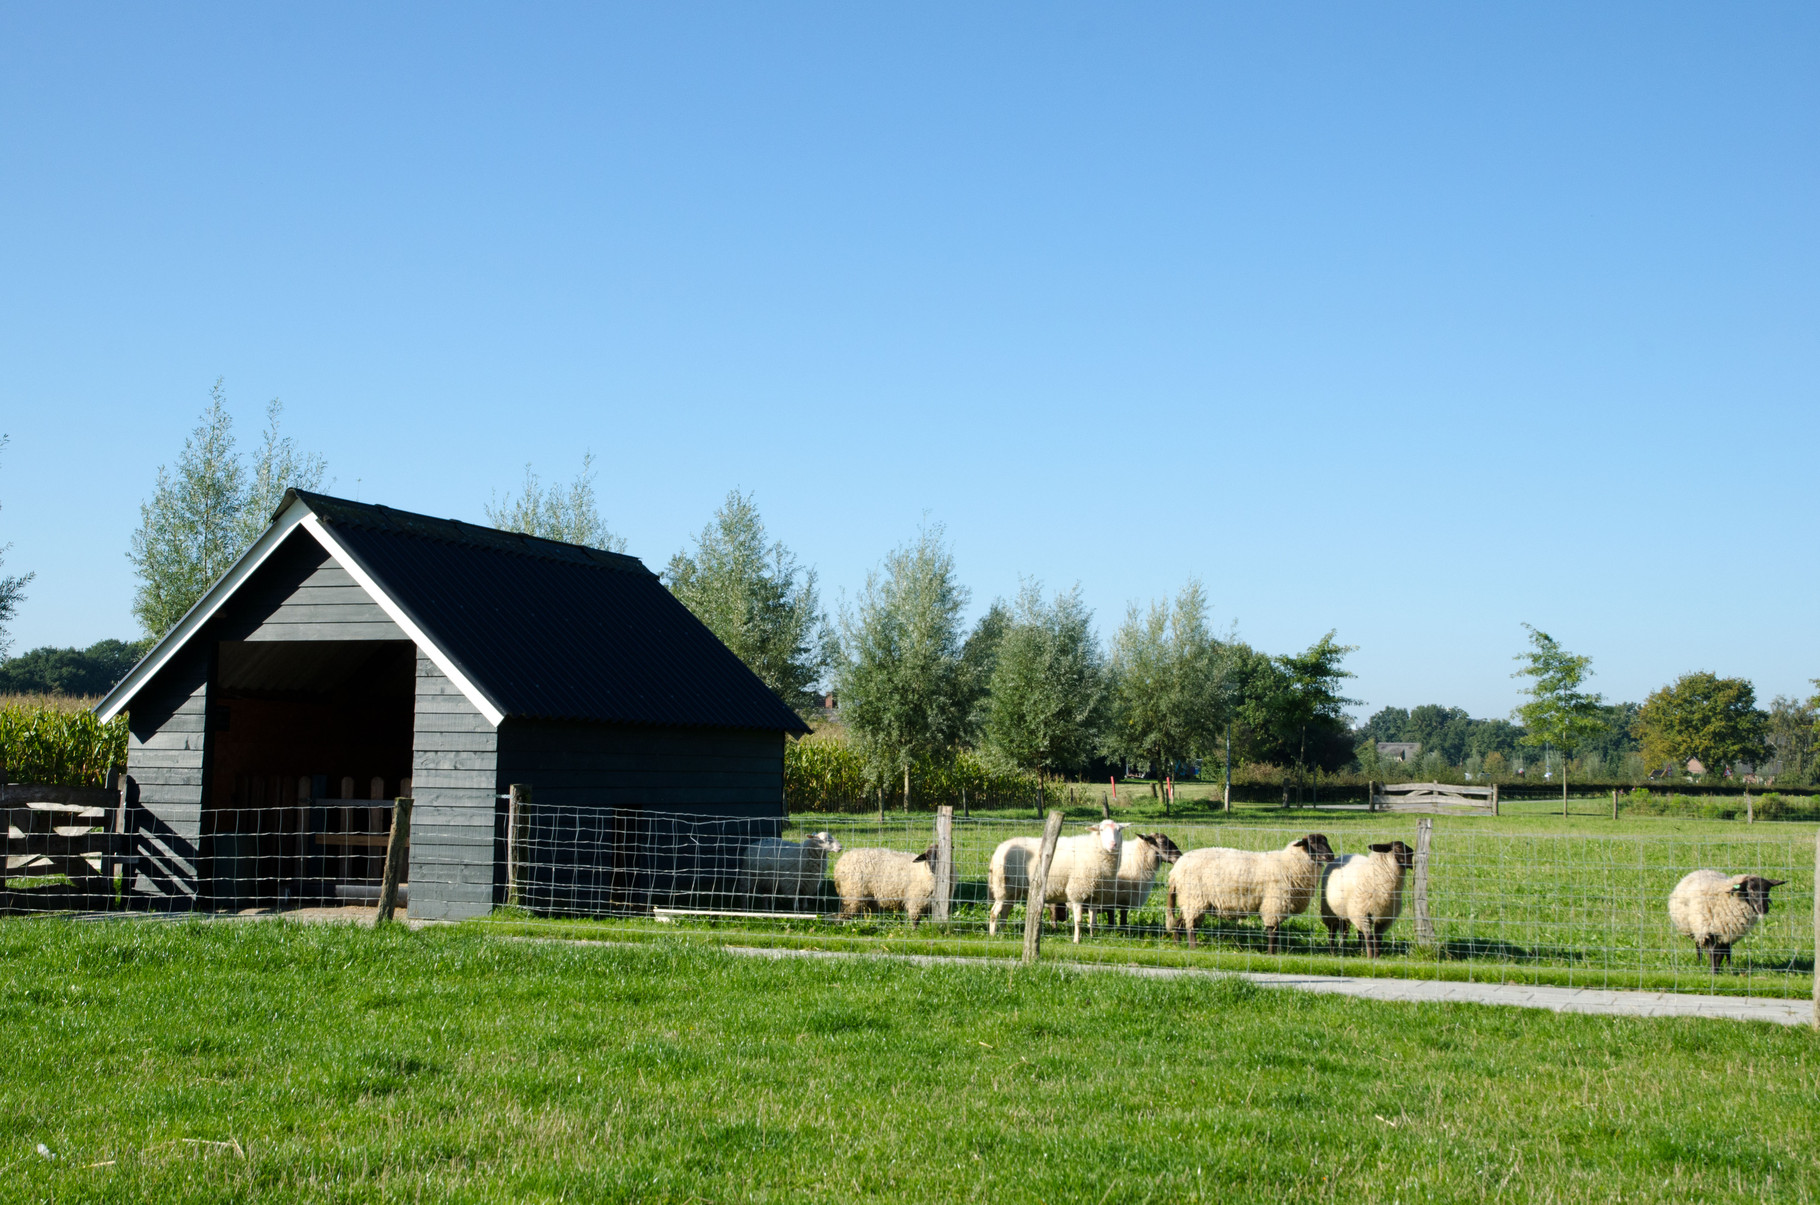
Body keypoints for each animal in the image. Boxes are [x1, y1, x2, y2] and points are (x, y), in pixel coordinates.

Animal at [1164, 837, 1339, 961]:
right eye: (1312, 842)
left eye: (1326, 841)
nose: (1331, 856)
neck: (1290, 863)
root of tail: (1175, 871)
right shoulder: (1273, 904)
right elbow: (1272, 932)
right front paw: (1271, 954)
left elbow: (1276, 931)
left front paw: (1275, 953)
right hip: (1194, 899)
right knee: (1190, 926)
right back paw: (1193, 947)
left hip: (1190, 901)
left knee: (1179, 923)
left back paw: (1177, 945)